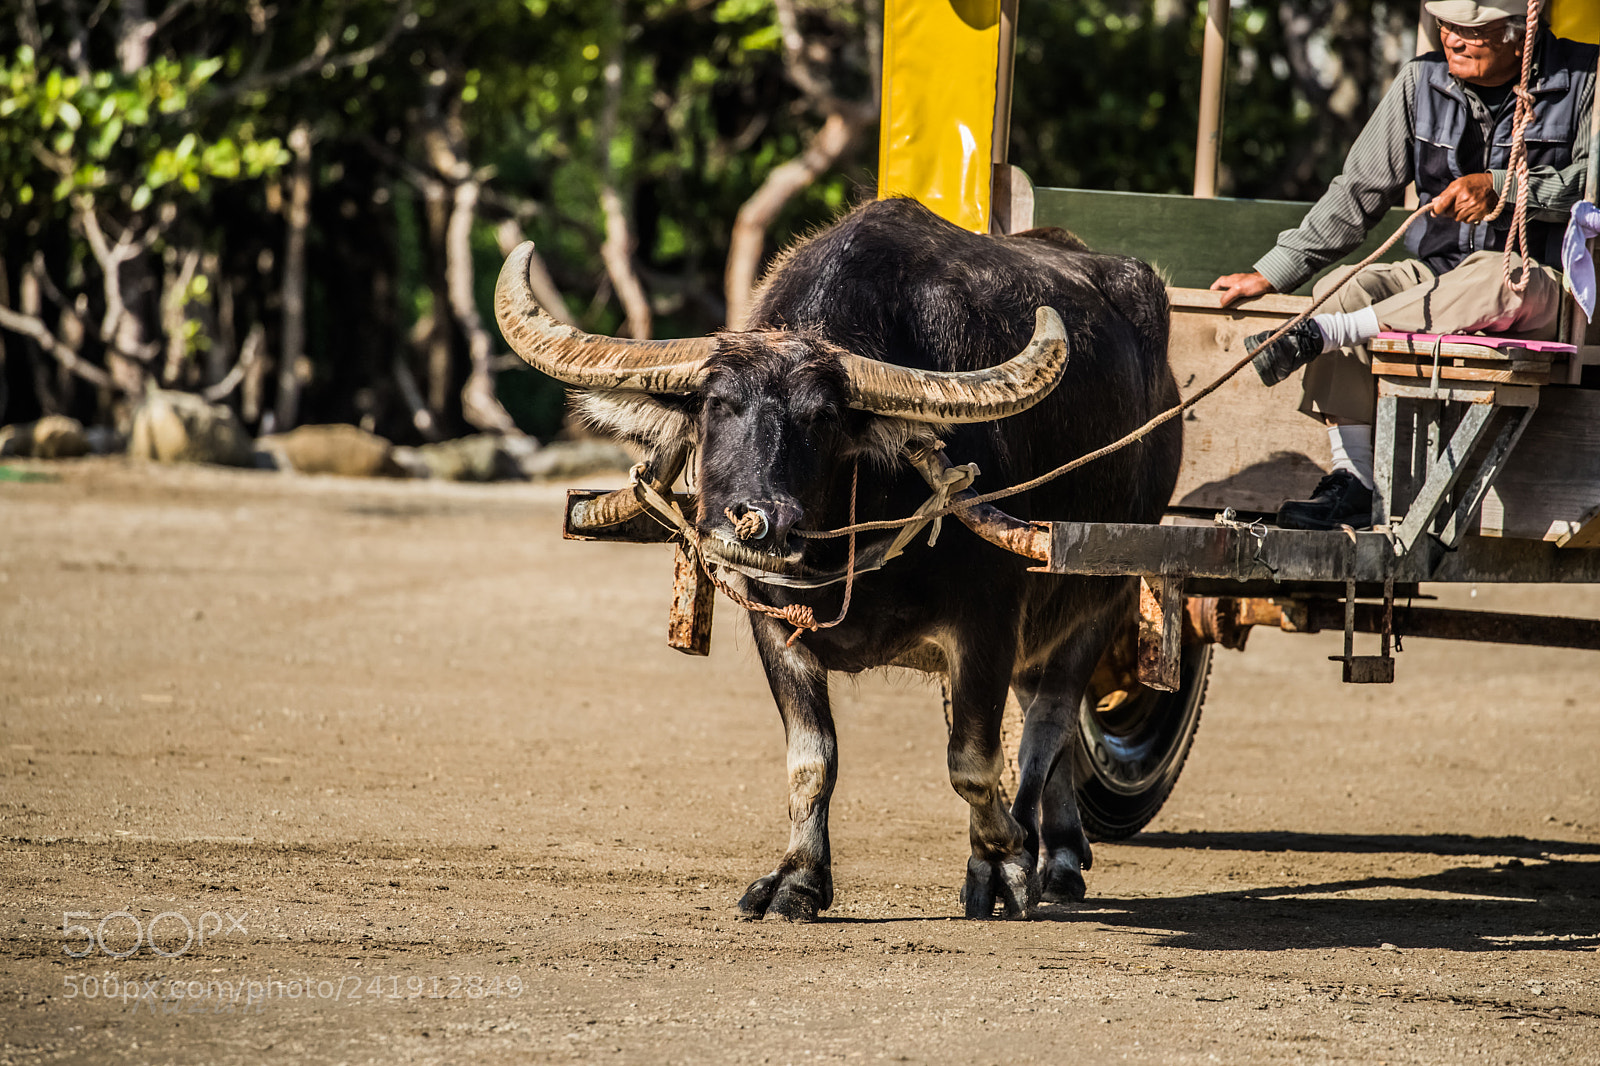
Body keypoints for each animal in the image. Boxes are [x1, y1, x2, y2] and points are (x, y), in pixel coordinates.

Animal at [495, 197, 1182, 920]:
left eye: (823, 418)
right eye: (717, 406)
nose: (757, 521)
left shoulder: (990, 622)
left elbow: (973, 761)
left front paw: (1003, 866)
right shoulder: (774, 620)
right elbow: (811, 756)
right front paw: (797, 879)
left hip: (1105, 588)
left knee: (1051, 720)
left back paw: (1052, 856)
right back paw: (1059, 851)